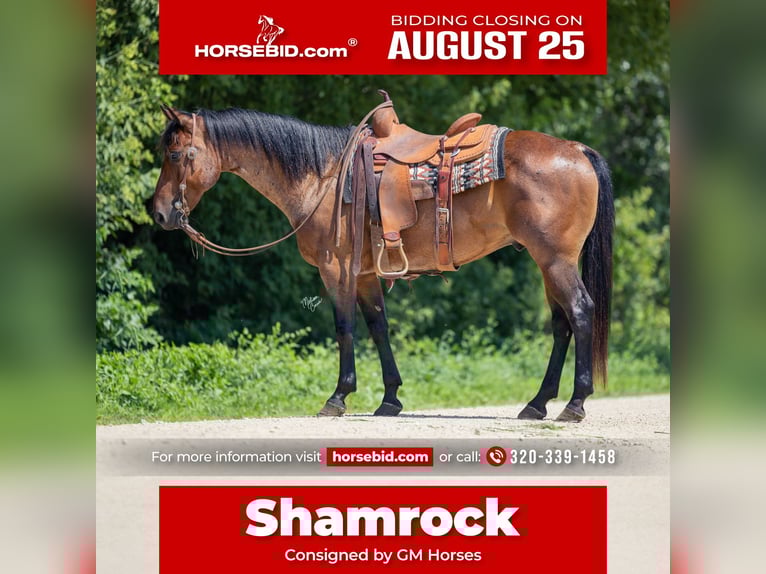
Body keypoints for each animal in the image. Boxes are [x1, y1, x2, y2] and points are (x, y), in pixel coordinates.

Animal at [151, 99, 614, 422]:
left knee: (580, 312)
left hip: (555, 260)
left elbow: (344, 328)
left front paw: (338, 397)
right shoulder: (366, 274)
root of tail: (577, 149)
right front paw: (390, 398)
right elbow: (378, 327)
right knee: (560, 325)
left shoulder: (336, 269)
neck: (323, 177)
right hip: (546, 263)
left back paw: (574, 404)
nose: (158, 213)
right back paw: (537, 404)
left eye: (174, 155)